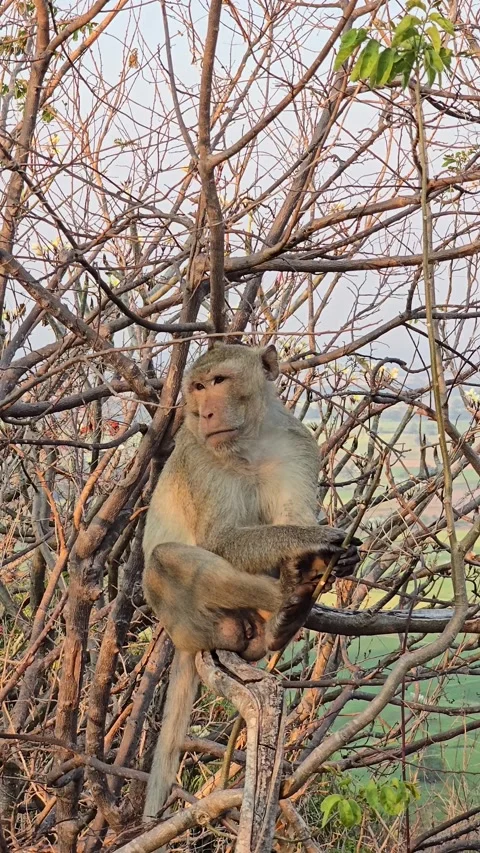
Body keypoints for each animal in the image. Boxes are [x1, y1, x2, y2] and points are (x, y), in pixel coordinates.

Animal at [142, 343, 360, 823]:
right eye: (197, 387)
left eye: (219, 382)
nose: (203, 412)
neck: (249, 444)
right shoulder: (199, 455)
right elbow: (220, 540)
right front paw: (313, 541)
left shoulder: (296, 444)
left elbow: (290, 513)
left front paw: (326, 557)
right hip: (183, 623)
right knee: (164, 561)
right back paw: (282, 605)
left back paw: (284, 614)